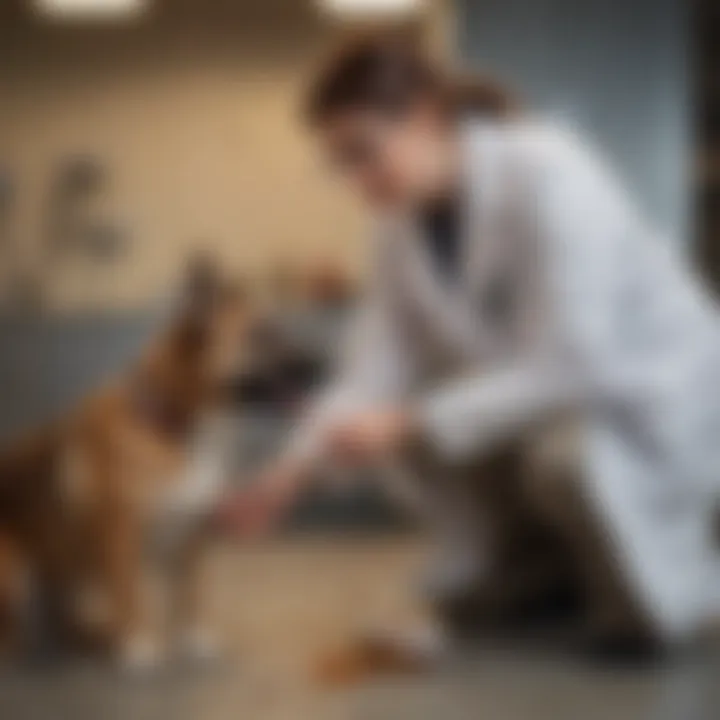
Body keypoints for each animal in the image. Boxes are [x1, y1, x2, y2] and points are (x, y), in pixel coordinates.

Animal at [0, 258, 324, 668]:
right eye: (260, 335)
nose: (326, 363)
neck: (173, 425)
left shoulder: (192, 533)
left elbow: (189, 594)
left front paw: (194, 639)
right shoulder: (120, 536)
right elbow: (131, 594)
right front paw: (139, 645)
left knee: (61, 622)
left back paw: (89, 638)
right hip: (12, 573)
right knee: (18, 628)